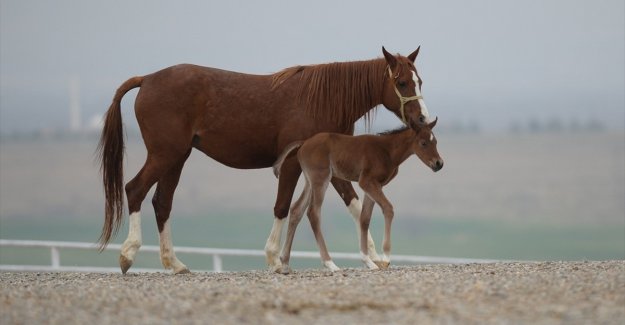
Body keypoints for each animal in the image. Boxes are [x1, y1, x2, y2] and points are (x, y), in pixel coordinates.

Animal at [274, 117, 444, 272]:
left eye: (435, 142)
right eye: (423, 143)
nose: (439, 163)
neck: (387, 150)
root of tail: (304, 143)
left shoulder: (373, 185)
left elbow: (364, 218)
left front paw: (368, 261)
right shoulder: (367, 182)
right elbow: (388, 209)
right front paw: (385, 258)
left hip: (310, 181)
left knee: (296, 210)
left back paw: (285, 263)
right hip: (320, 179)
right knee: (313, 213)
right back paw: (330, 264)